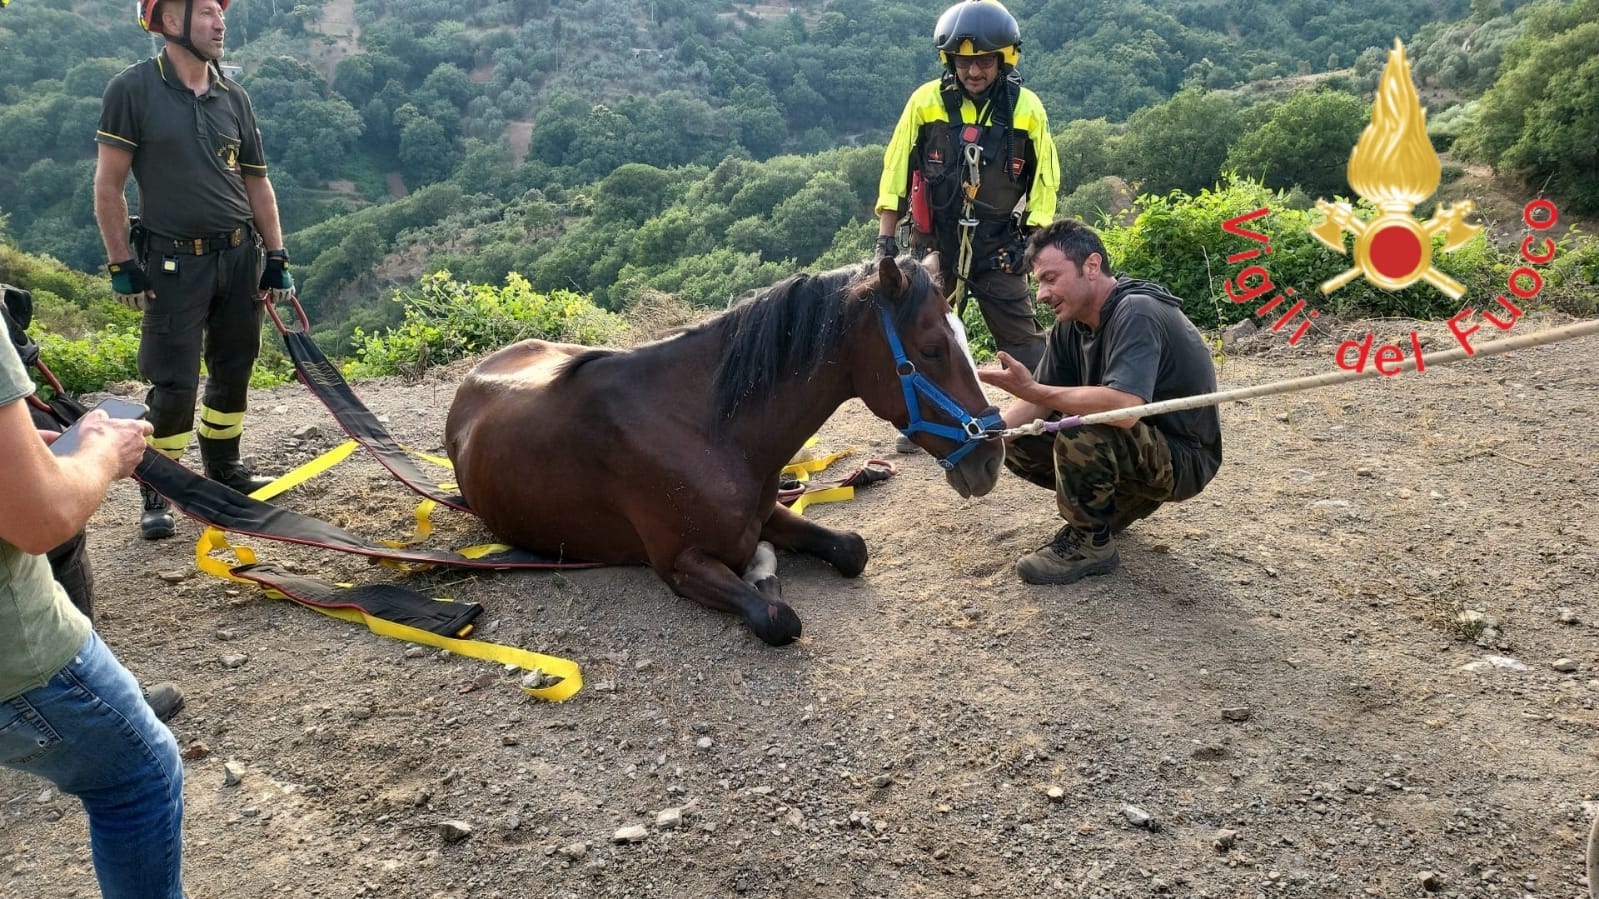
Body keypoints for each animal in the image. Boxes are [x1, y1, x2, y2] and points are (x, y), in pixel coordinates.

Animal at [444, 255, 1004, 639]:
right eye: (930, 350)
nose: (991, 458)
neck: (708, 431)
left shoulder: (768, 514)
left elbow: (852, 549)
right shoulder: (681, 564)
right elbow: (778, 617)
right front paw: (765, 576)